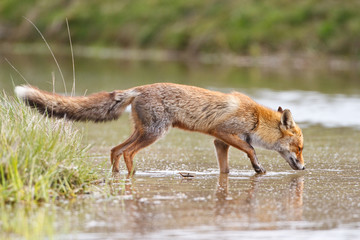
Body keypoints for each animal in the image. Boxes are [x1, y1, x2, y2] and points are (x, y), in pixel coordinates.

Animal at [15, 82, 306, 174]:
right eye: (300, 148)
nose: (304, 168)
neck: (255, 118)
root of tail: (139, 88)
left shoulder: (219, 141)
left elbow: (225, 168)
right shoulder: (222, 132)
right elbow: (250, 149)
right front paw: (257, 167)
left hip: (142, 131)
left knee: (115, 150)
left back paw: (117, 175)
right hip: (154, 134)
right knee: (127, 152)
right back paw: (132, 176)